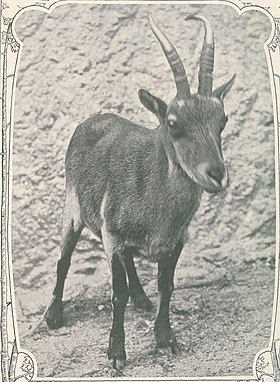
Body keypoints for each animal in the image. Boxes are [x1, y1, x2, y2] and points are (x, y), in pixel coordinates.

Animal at [45, 13, 234, 368]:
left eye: (223, 119)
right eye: (173, 123)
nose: (216, 175)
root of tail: (92, 119)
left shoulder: (175, 240)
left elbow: (167, 285)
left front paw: (166, 339)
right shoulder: (112, 234)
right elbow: (116, 294)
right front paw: (116, 353)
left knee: (130, 261)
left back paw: (142, 299)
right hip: (72, 207)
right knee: (64, 258)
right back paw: (53, 316)